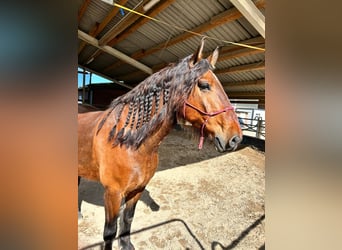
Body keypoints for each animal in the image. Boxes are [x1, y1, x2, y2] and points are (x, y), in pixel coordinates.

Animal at [78, 39, 242, 250]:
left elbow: (128, 219)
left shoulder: (137, 189)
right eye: (204, 85)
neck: (129, 141)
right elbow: (109, 232)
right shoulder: (112, 193)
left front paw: (126, 245)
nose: (236, 138)